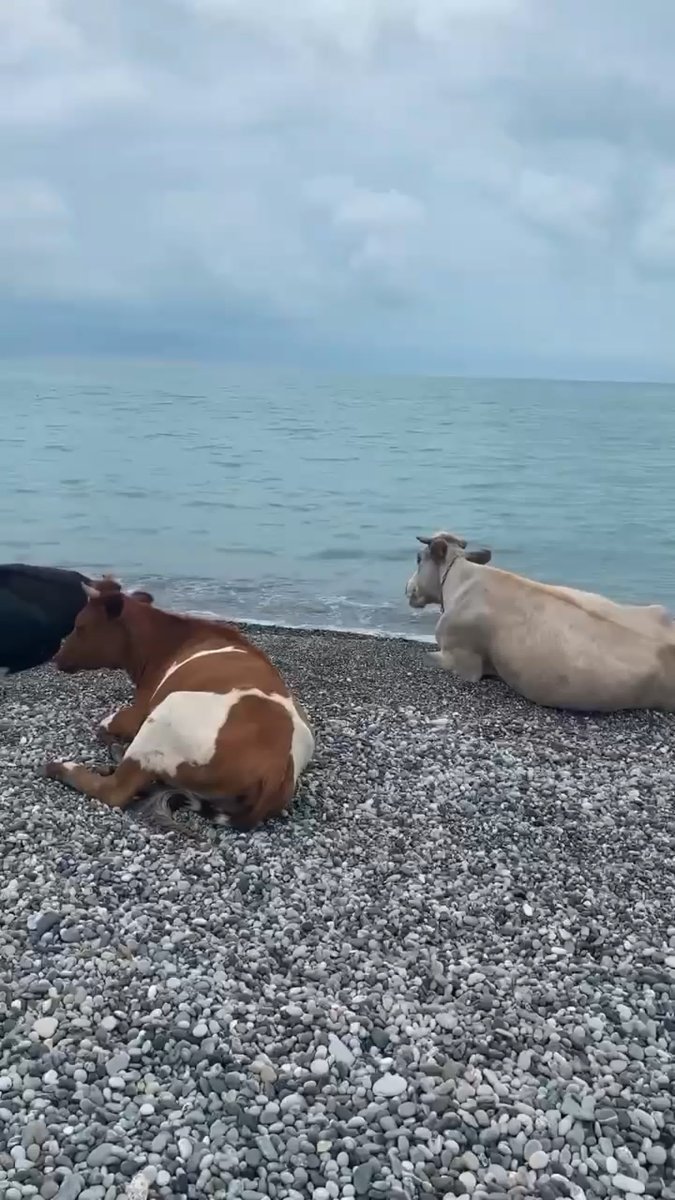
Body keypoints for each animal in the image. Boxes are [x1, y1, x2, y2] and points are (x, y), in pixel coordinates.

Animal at [43, 579, 315, 829]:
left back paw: (62, 766)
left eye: (80, 626)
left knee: (115, 790)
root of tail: (276, 769)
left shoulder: (139, 711)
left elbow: (103, 724)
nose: (56, 657)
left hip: (165, 715)